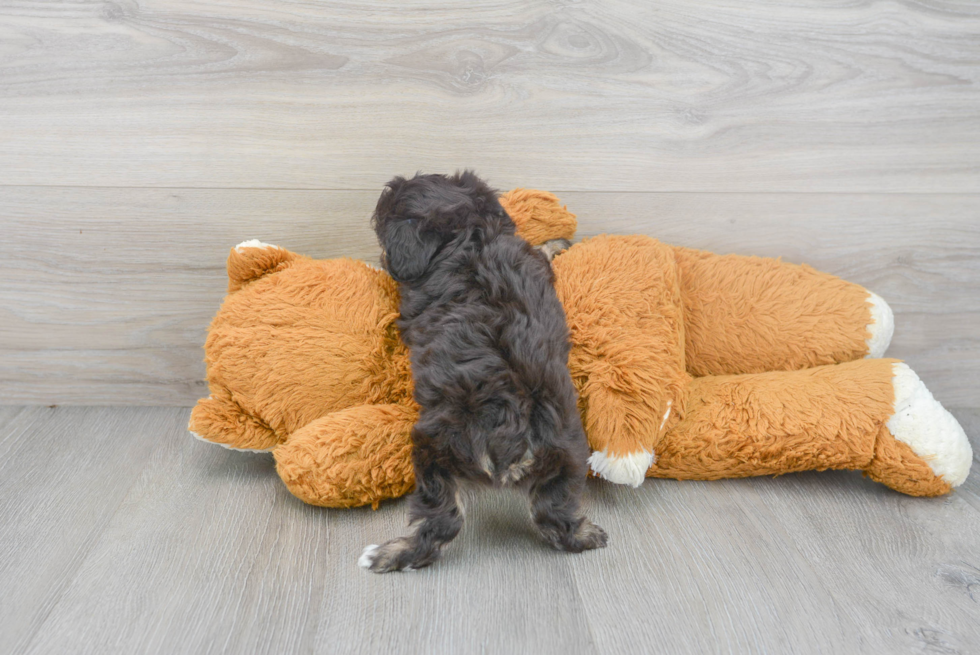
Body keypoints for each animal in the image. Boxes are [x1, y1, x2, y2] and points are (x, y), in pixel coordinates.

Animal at [360, 170, 604, 576]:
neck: (470, 235)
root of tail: (515, 436)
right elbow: (542, 251)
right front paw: (558, 242)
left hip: (432, 448)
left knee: (441, 522)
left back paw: (386, 554)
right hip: (569, 456)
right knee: (554, 517)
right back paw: (588, 535)